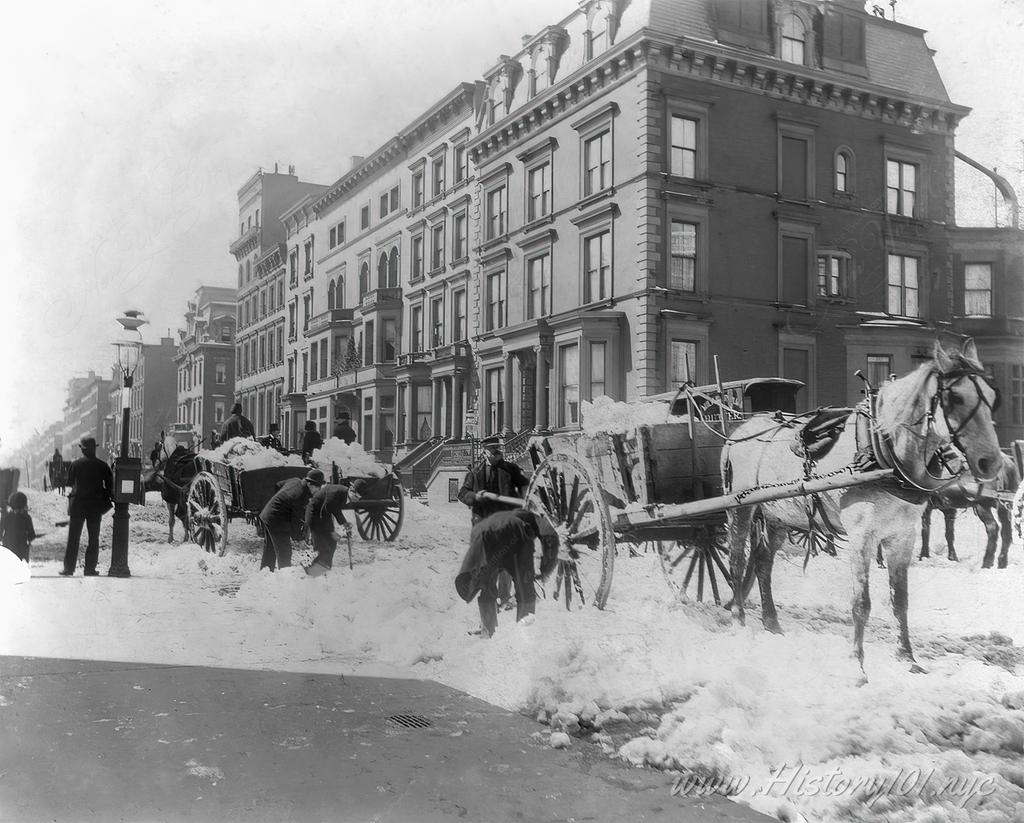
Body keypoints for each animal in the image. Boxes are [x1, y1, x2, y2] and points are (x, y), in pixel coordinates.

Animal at [724, 339, 1003, 675]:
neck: (884, 452)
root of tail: (742, 429)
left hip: (780, 515)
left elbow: (900, 599)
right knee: (737, 560)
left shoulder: (902, 537)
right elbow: (861, 603)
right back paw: (738, 618)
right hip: (740, 509)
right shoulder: (861, 537)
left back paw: (771, 623)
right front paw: (857, 666)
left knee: (763, 563)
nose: (992, 462)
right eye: (956, 397)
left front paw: (907, 657)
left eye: (991, 398)